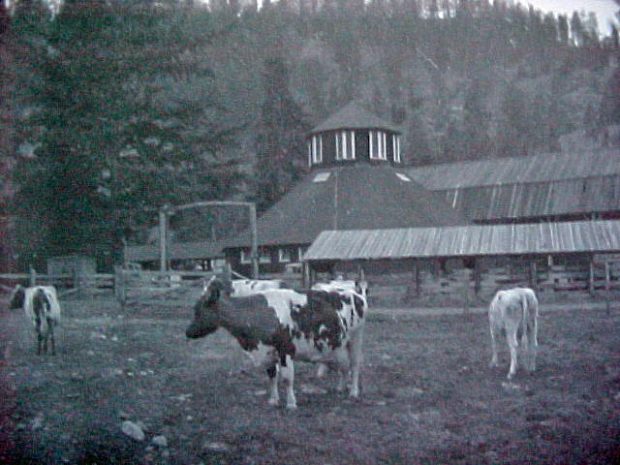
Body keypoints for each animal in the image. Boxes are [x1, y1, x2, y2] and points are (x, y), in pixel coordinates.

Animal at [185, 278, 368, 408]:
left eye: (199, 310)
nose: (187, 332)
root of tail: (354, 293)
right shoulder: (268, 351)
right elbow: (272, 376)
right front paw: (273, 400)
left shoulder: (285, 350)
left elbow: (287, 378)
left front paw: (291, 403)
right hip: (339, 344)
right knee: (343, 366)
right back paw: (341, 387)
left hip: (357, 337)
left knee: (354, 365)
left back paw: (353, 391)